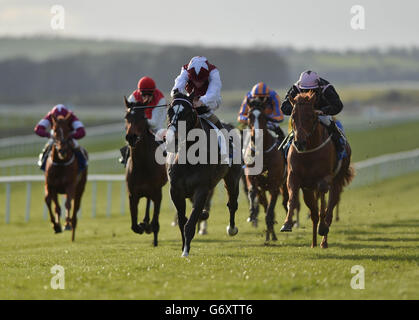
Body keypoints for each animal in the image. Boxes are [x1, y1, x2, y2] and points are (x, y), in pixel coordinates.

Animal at [123, 98, 167, 248]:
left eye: (142, 117)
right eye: (126, 117)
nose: (131, 137)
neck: (142, 165)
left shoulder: (158, 193)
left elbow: (155, 222)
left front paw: (149, 229)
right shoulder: (132, 195)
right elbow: (134, 226)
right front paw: (143, 225)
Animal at [166, 92, 241, 258]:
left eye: (187, 113)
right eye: (169, 111)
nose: (172, 138)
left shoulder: (202, 188)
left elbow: (190, 222)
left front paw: (185, 251)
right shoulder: (176, 191)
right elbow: (183, 221)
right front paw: (184, 247)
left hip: (232, 178)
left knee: (232, 203)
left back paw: (231, 228)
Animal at [246, 104, 288, 240]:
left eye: (263, 116)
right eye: (249, 116)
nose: (256, 136)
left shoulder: (274, 186)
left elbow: (270, 212)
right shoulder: (253, 179)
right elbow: (252, 191)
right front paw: (252, 212)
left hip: (283, 185)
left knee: (285, 202)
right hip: (263, 190)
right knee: (265, 205)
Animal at [278, 91, 354, 249]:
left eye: (311, 116)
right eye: (293, 116)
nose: (300, 143)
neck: (309, 152)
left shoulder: (325, 178)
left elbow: (323, 200)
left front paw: (322, 227)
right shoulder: (294, 177)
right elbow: (292, 198)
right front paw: (287, 223)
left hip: (338, 180)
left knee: (330, 208)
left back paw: (323, 240)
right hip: (307, 189)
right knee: (313, 213)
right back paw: (313, 242)